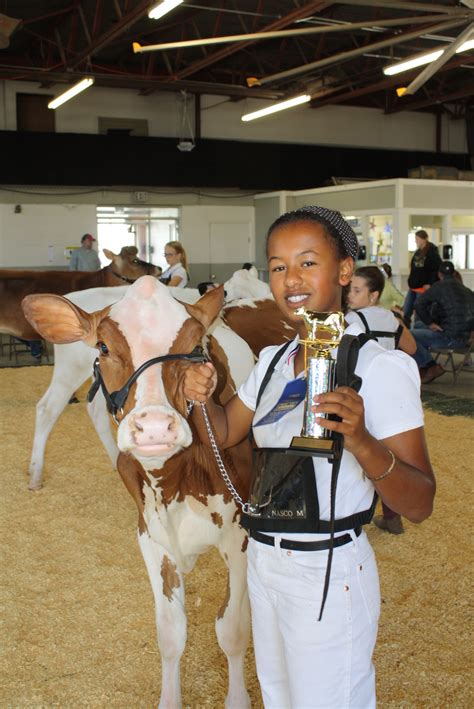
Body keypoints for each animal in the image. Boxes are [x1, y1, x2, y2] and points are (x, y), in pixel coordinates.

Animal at [22, 276, 254, 708]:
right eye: (102, 346)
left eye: (196, 346)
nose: (155, 427)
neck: (176, 481)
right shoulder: (150, 535)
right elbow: (170, 633)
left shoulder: (239, 533)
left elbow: (232, 629)